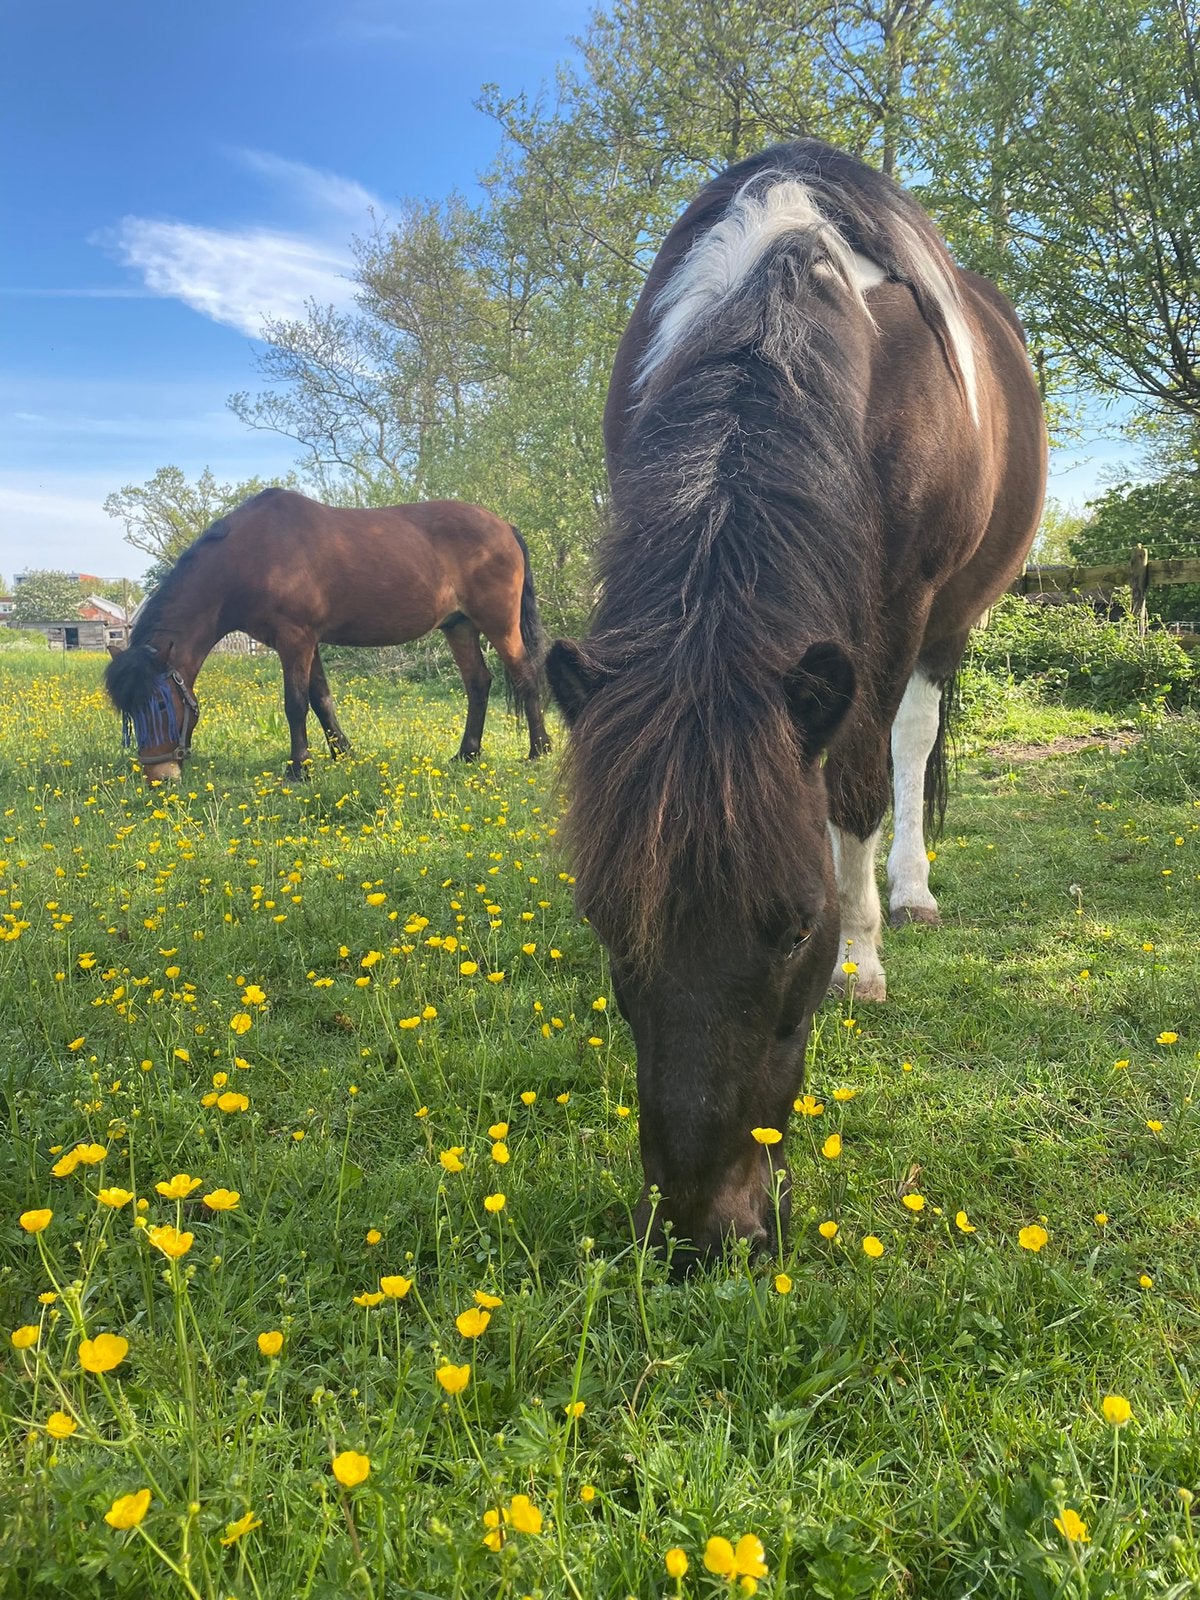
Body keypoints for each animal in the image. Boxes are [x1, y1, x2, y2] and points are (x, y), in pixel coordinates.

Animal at [104, 488, 552, 780]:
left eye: (161, 705)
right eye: (128, 715)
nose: (159, 777)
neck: (252, 554)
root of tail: (505, 527)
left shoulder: (295, 639)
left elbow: (296, 703)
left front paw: (299, 767)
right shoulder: (306, 642)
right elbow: (321, 699)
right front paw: (342, 754)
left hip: (499, 624)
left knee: (525, 676)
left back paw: (538, 751)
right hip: (458, 626)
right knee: (478, 683)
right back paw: (467, 754)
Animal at [545, 139, 1046, 1267]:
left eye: (793, 930)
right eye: (604, 919)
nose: (702, 1232)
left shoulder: (897, 607)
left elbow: (856, 785)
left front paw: (860, 955)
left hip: (949, 622)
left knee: (910, 739)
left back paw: (909, 891)